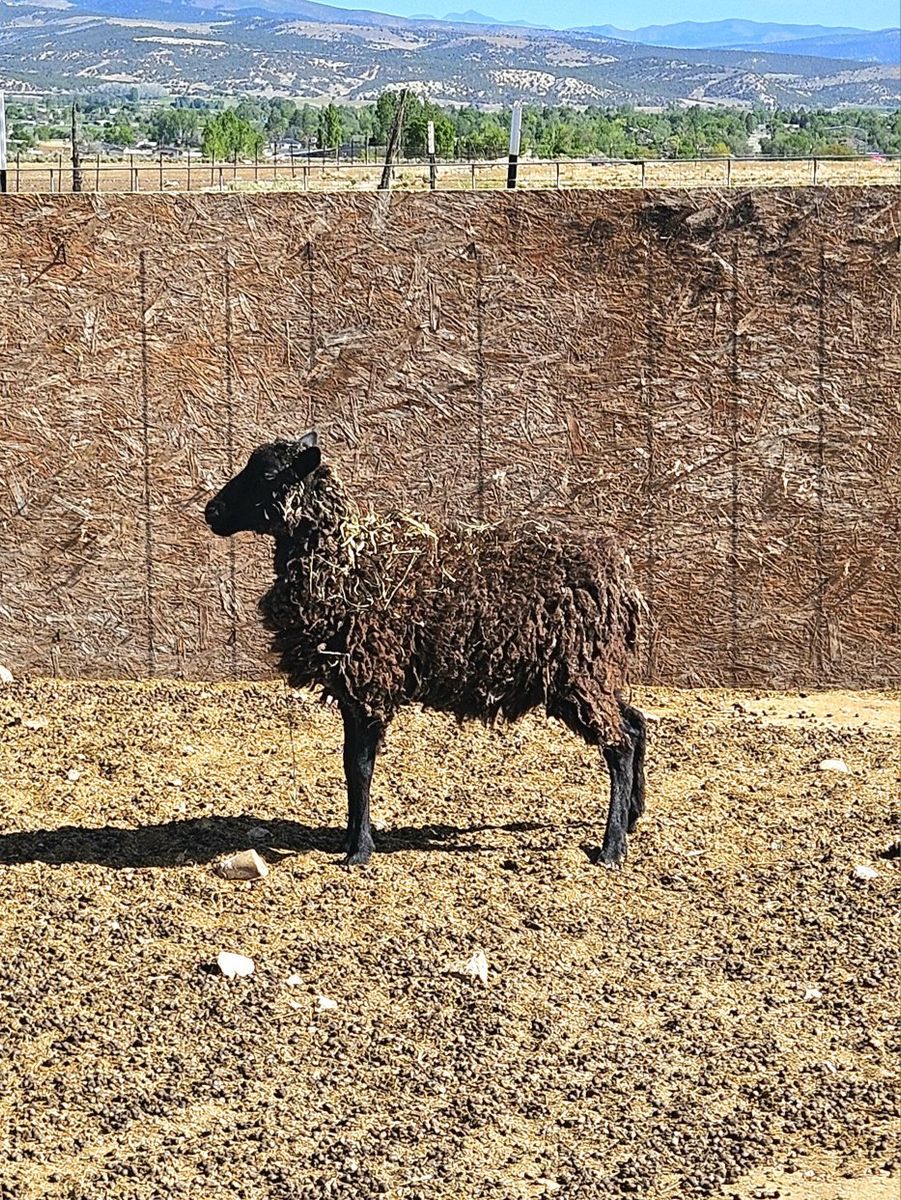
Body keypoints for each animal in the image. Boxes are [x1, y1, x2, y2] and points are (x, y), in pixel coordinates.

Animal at [204, 433, 648, 868]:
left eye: (267, 474)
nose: (213, 511)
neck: (345, 561)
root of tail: (620, 577)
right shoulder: (352, 688)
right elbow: (349, 765)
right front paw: (349, 838)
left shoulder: (370, 681)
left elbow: (360, 768)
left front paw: (359, 850)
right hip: (589, 671)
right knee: (634, 722)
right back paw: (632, 815)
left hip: (577, 671)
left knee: (619, 746)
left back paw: (611, 849)